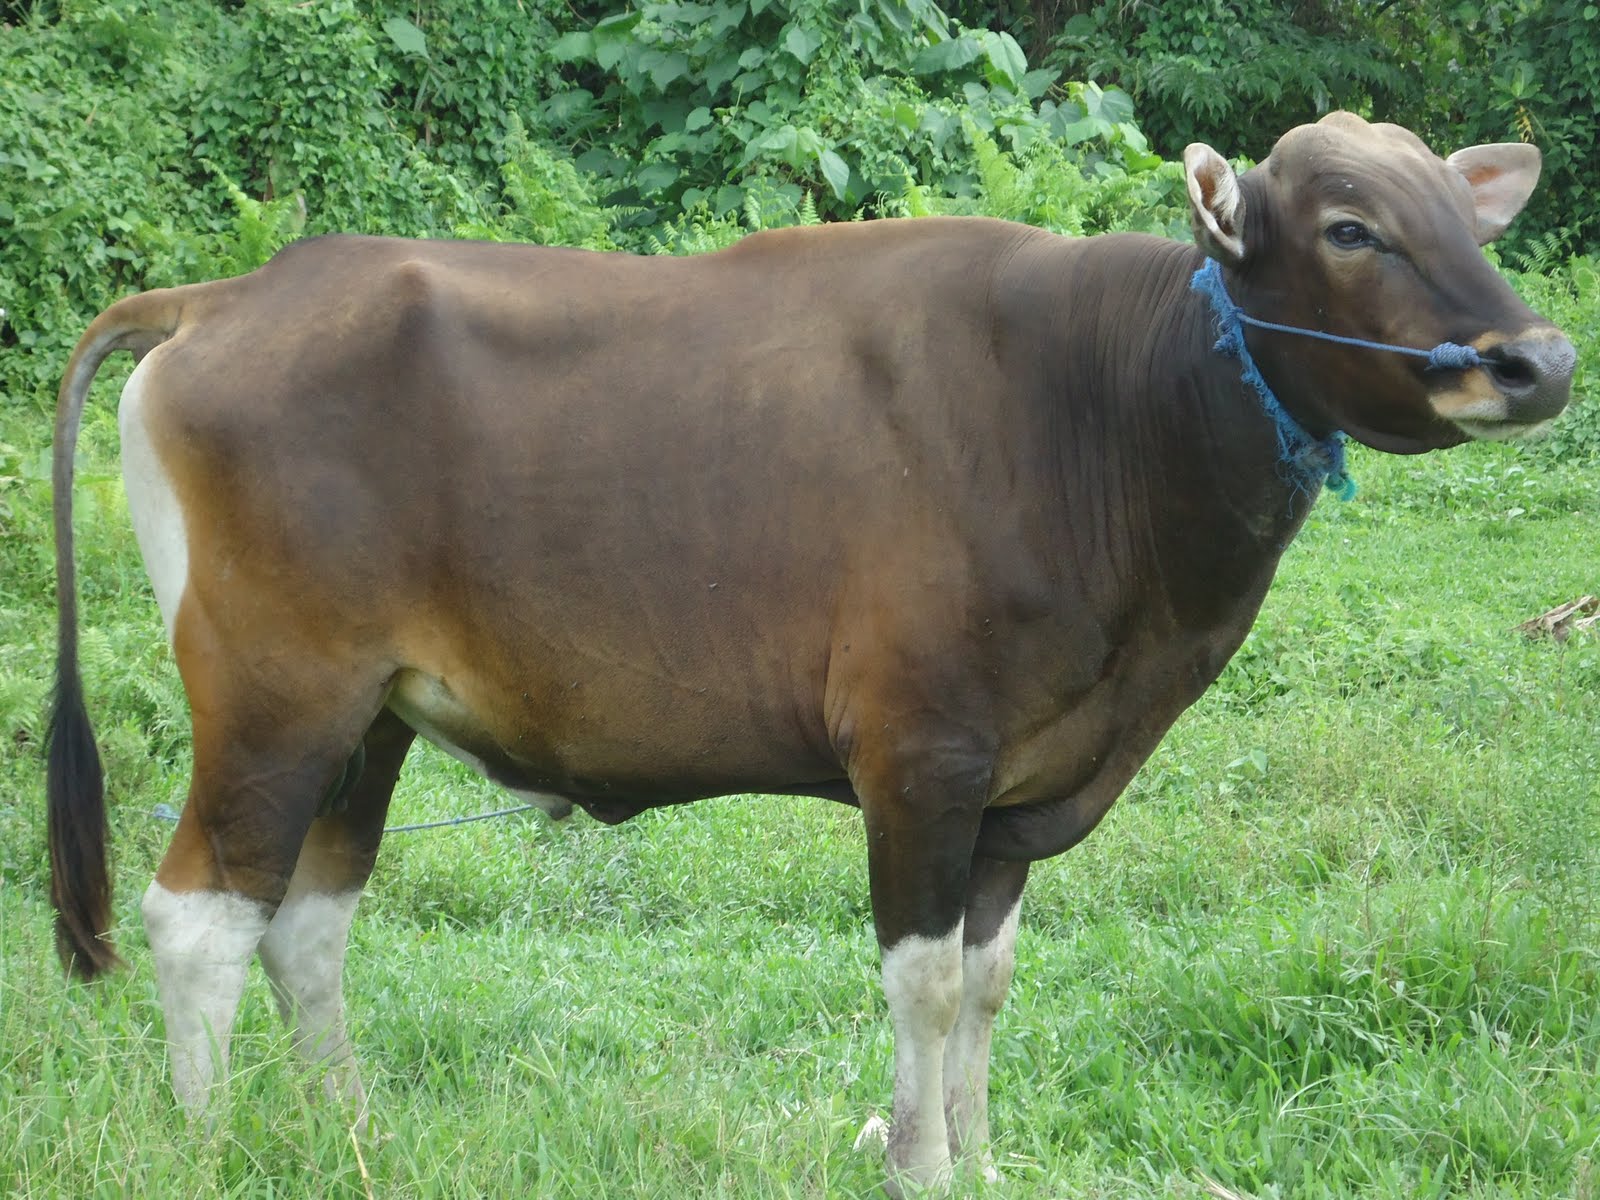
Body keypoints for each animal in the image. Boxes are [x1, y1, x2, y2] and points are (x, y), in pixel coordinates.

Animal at [50, 115, 1574, 1196]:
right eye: (1352, 227)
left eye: (1465, 212)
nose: (1538, 360)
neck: (1105, 410)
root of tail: (227, 296)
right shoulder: (920, 759)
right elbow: (924, 981)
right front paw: (921, 1163)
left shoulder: (1016, 796)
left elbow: (988, 982)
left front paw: (983, 1157)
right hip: (275, 696)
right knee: (199, 919)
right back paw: (211, 1145)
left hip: (371, 717)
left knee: (306, 924)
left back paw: (349, 1132)